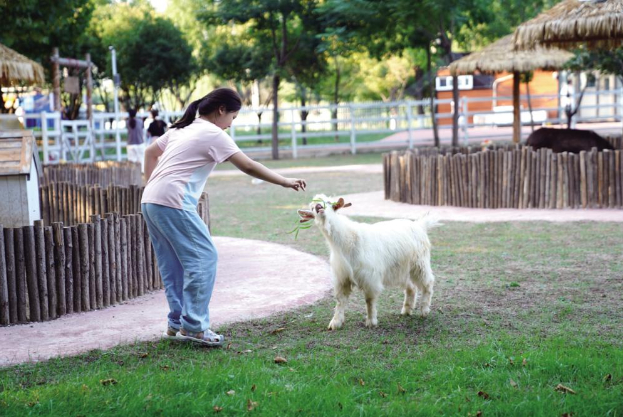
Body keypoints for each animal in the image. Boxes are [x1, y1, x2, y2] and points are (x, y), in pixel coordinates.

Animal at [298, 194, 442, 328]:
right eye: (312, 207)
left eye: (329, 202)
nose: (319, 207)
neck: (347, 241)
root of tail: (419, 225)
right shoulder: (342, 277)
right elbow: (340, 300)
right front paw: (335, 322)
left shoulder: (369, 277)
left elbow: (369, 300)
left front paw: (371, 321)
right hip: (401, 268)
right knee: (411, 287)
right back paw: (406, 310)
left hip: (420, 264)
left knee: (428, 283)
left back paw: (424, 310)